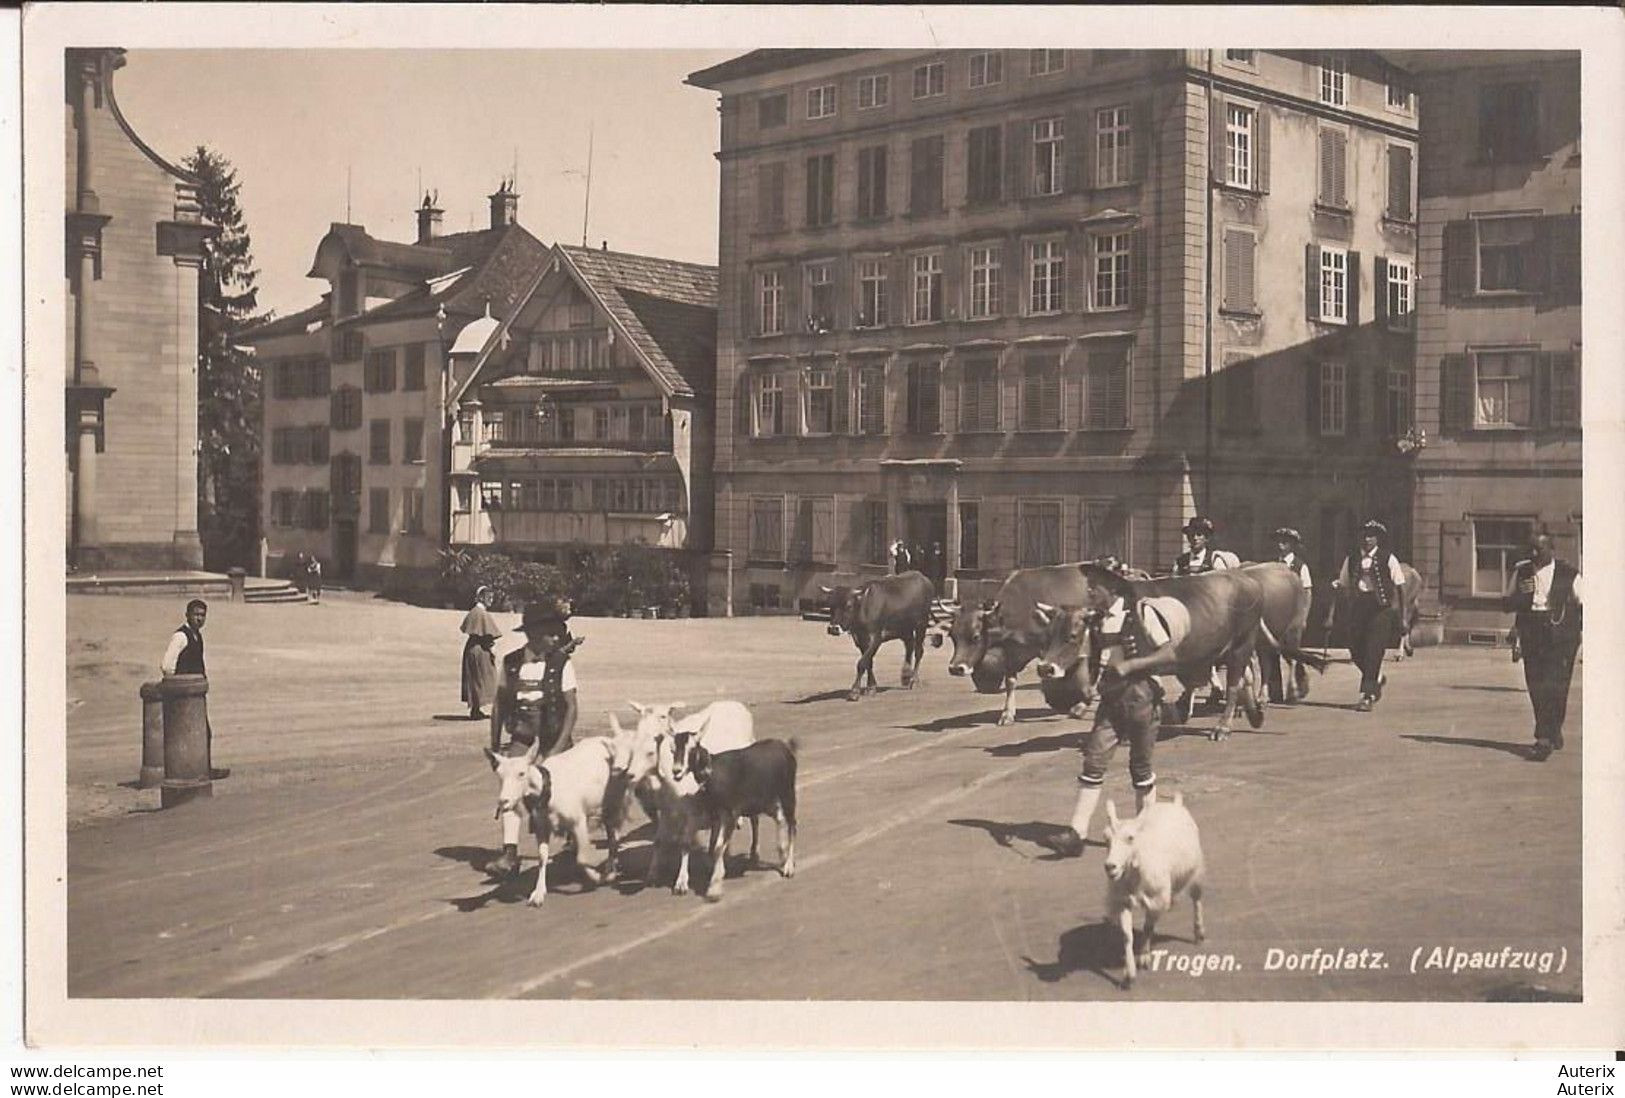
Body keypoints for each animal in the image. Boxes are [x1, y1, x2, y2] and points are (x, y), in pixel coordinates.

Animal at [484, 727, 656, 909]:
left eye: (521, 773)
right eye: (500, 776)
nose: (503, 801)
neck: (549, 789)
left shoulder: (578, 821)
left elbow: (581, 858)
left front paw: (596, 877)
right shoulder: (542, 827)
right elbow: (542, 857)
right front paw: (538, 894)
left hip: (614, 801)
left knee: (613, 835)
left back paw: (611, 870)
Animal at [1105, 789, 1209, 987]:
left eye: (1131, 838)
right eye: (1106, 839)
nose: (1110, 866)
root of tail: (1174, 804)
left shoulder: (1156, 901)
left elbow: (1148, 927)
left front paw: (1144, 957)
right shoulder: (1122, 901)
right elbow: (1127, 935)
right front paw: (1129, 974)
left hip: (1197, 871)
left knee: (1197, 899)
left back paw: (1199, 933)